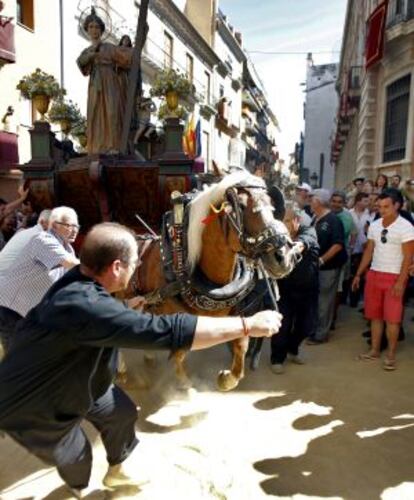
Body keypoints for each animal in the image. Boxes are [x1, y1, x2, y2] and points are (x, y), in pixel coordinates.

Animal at [123, 168, 298, 390]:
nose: (283, 256)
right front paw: (185, 386)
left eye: (271, 205)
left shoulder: (233, 313)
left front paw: (226, 378)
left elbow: (241, 343)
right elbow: (179, 353)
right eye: (241, 206)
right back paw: (122, 372)